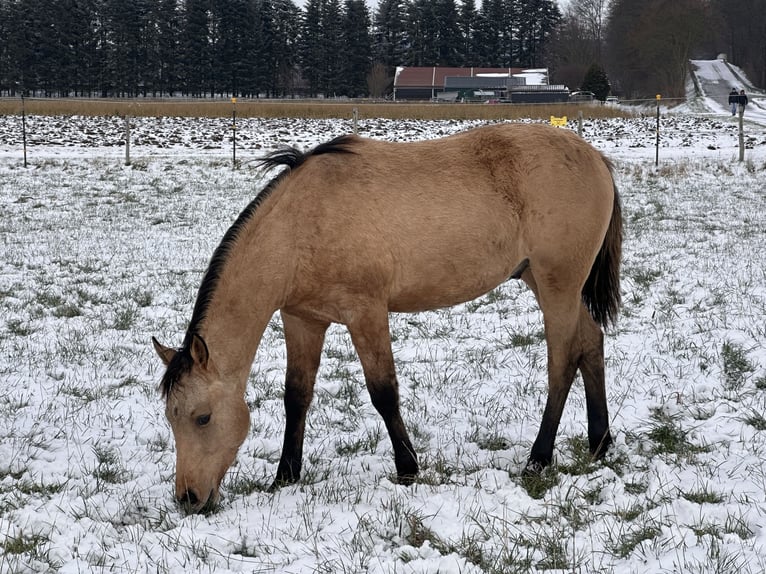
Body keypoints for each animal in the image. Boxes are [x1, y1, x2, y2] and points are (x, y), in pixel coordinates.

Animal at [153, 122, 623, 514]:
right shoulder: (302, 319)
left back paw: (539, 458)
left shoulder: (366, 314)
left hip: (557, 285)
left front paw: (408, 468)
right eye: (171, 418)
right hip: (542, 282)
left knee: (562, 362)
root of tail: (594, 156)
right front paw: (285, 476)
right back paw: (600, 442)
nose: (188, 498)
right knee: (590, 343)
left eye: (202, 417)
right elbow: (296, 397)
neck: (300, 226)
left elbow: (383, 392)